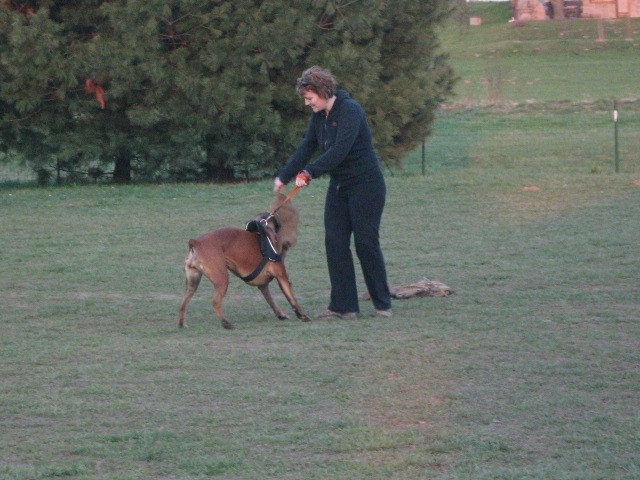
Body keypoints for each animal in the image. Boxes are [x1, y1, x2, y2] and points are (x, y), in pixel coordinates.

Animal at [179, 192, 312, 330]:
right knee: (215, 302)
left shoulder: (263, 286)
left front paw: (281, 314)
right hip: (222, 279)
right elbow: (291, 297)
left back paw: (182, 323)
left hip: (192, 282)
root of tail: (196, 243)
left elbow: (271, 300)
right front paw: (302, 315)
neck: (266, 231)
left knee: (183, 303)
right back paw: (225, 322)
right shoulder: (282, 277)